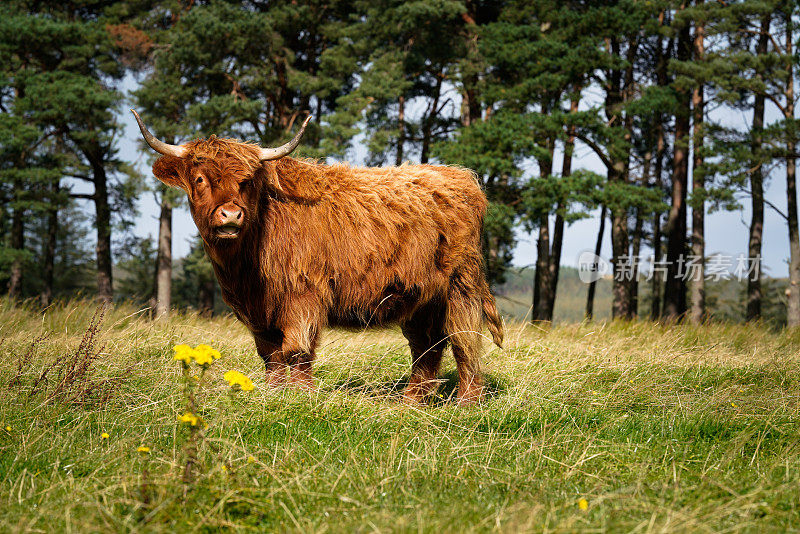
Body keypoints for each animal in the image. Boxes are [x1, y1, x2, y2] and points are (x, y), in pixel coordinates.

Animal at [134, 110, 504, 406]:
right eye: (200, 179)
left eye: (247, 181)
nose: (230, 215)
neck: (247, 266)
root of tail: (460, 176)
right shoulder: (257, 312)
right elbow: (271, 355)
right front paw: (273, 395)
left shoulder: (304, 294)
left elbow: (297, 350)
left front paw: (300, 396)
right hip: (420, 297)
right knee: (427, 345)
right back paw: (412, 402)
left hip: (461, 286)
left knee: (464, 341)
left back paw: (467, 402)